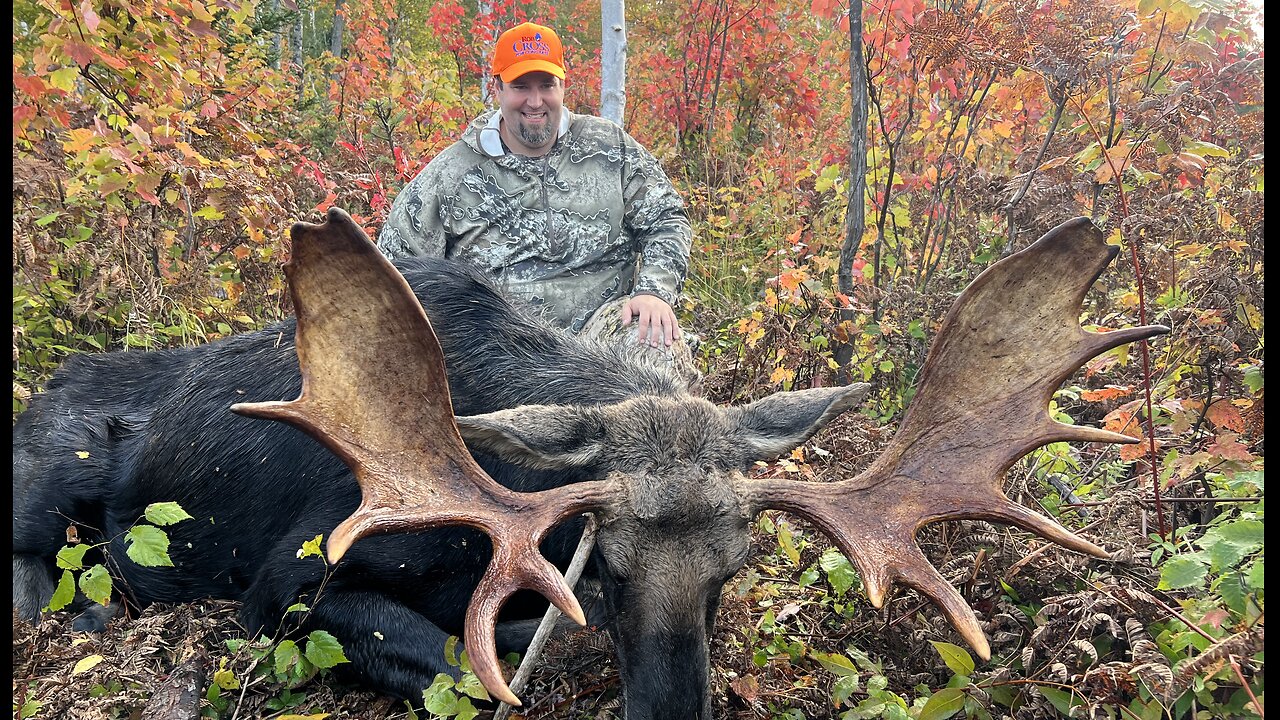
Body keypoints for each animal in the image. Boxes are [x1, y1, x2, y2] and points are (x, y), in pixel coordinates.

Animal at [12, 204, 1172, 712]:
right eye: (602, 568)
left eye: (733, 572)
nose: (668, 711)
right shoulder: (287, 577)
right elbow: (461, 662)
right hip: (50, 458)